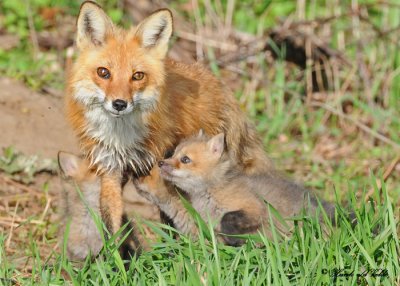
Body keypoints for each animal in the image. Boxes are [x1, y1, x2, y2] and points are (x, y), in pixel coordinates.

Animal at [65, 1, 272, 235]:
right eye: (103, 72)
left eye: (137, 76)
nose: (119, 104)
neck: (123, 138)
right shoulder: (110, 169)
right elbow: (112, 226)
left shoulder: (162, 166)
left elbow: (175, 212)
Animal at [134, 132, 334, 246]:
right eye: (173, 154)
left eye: (185, 159)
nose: (161, 163)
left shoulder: (254, 208)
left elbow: (228, 219)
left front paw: (234, 239)